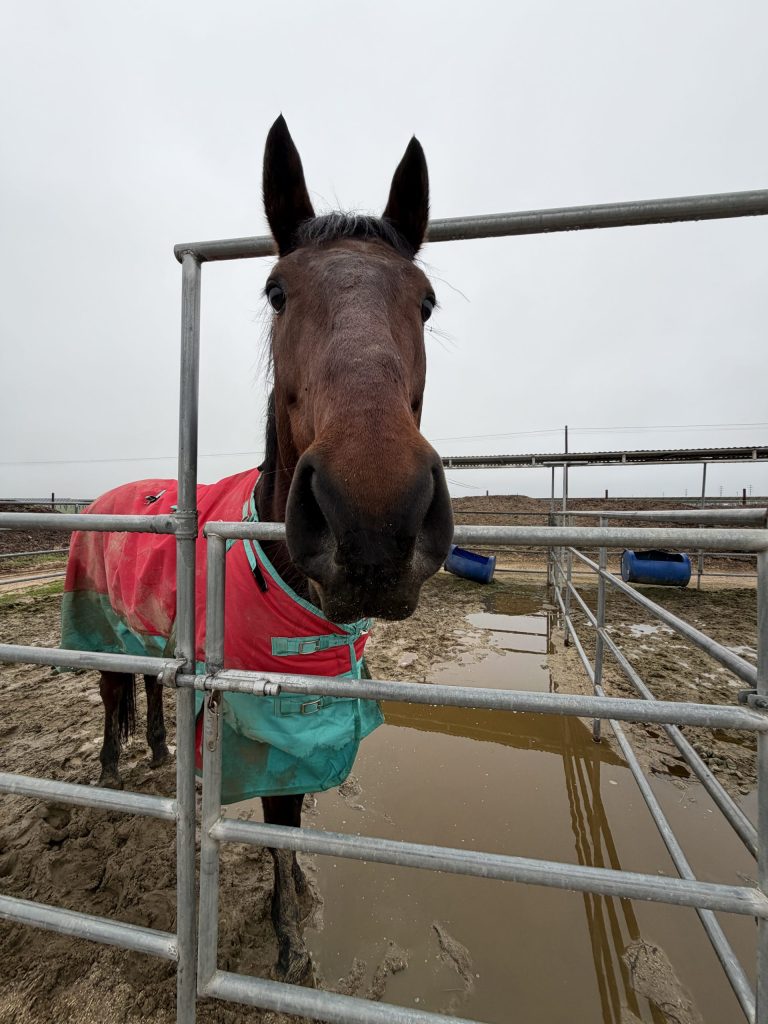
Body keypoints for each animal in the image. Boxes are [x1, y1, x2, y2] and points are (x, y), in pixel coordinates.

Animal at [62, 115, 454, 982]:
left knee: (149, 691)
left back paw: (157, 749)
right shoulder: (266, 716)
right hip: (100, 630)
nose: (374, 521)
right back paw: (108, 781)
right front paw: (287, 934)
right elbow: (276, 815)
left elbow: (294, 815)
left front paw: (297, 889)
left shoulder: (309, 714)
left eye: (425, 300)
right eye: (277, 290)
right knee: (111, 692)